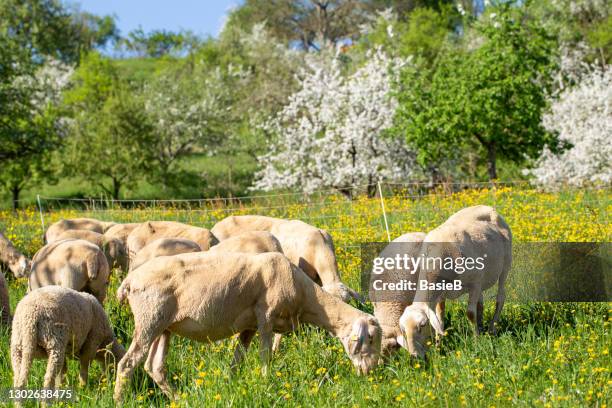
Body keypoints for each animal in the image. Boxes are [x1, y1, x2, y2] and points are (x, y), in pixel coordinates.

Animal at [114, 252, 380, 402]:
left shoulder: (249, 327)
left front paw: (231, 386)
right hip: (150, 319)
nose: (370, 373)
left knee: (154, 367)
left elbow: (237, 361)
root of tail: (129, 281)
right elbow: (266, 356)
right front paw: (266, 384)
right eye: (371, 338)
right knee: (127, 365)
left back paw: (181, 400)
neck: (306, 297)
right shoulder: (266, 317)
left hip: (164, 327)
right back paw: (119, 400)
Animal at [396, 206, 512, 358]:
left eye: (422, 325)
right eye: (403, 329)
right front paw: (439, 347)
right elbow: (440, 318)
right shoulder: (441, 293)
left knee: (501, 296)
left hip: (505, 265)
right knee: (480, 304)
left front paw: (476, 342)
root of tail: (487, 207)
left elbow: (470, 313)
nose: (414, 356)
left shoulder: (475, 283)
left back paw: (492, 328)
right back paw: (481, 327)